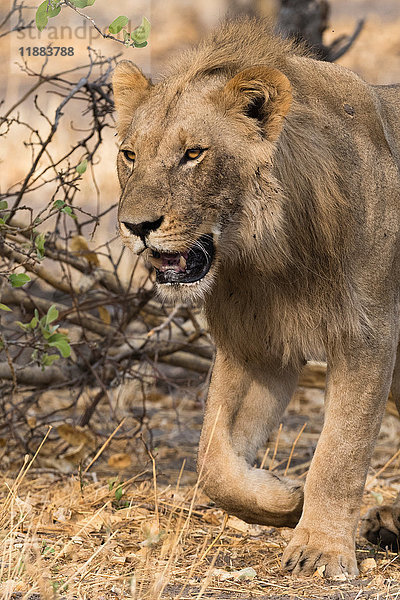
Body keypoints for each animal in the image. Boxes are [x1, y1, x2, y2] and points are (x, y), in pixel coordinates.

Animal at [111, 21, 400, 580]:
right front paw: (287, 501)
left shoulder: (368, 333)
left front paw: (320, 550)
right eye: (130, 155)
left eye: (193, 154)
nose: (136, 227)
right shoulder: (257, 346)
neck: (269, 255)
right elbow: (213, 462)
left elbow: (341, 450)